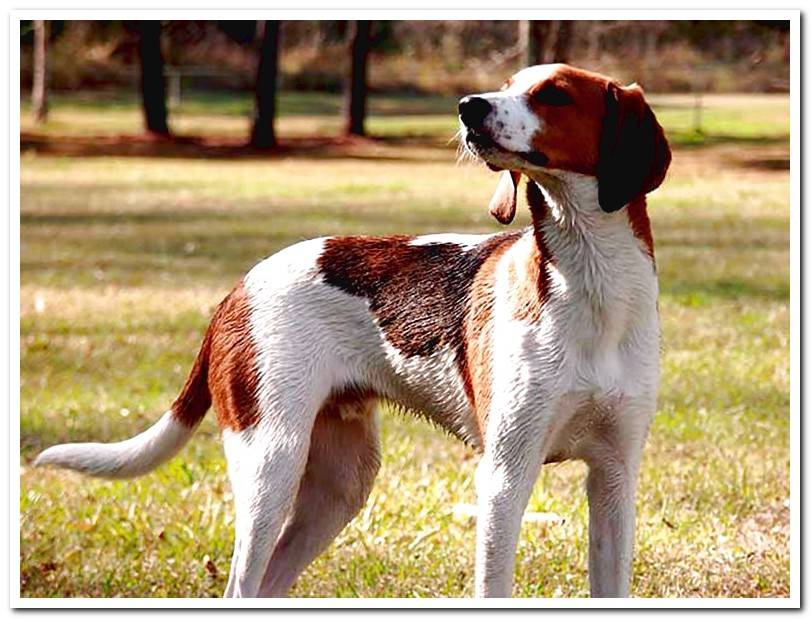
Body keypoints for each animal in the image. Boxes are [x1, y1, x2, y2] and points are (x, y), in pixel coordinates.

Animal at [35, 64, 672, 600]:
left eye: (554, 94)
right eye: (509, 83)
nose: (468, 105)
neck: (592, 285)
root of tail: (237, 289)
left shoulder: (614, 478)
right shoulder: (505, 477)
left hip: (340, 484)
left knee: (269, 585)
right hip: (272, 465)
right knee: (242, 585)